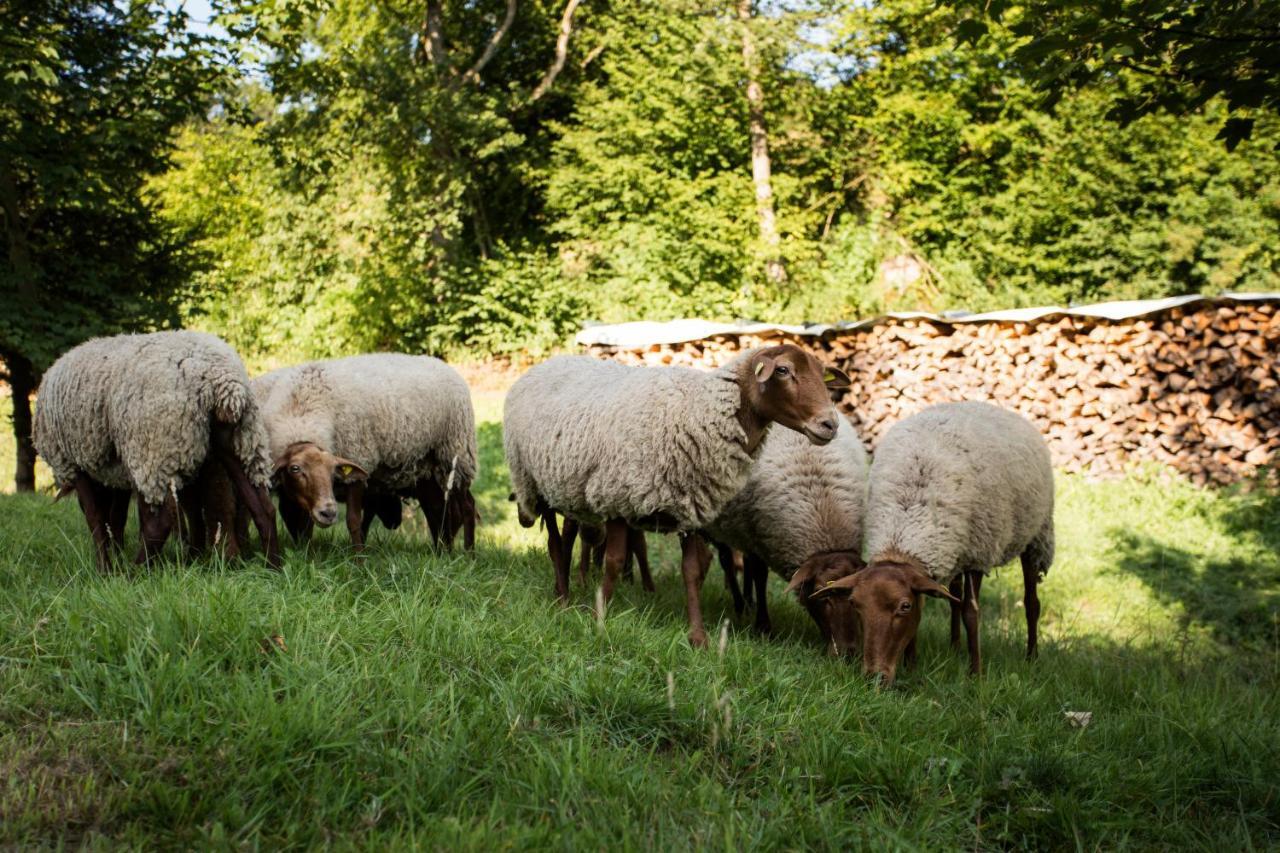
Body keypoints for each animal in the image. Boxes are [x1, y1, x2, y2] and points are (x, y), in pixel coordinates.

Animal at [35, 327, 282, 568]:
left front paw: (105, 568)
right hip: (242, 440)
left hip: (153, 448)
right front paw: (115, 556)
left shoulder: (73, 463)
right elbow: (115, 518)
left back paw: (135, 571)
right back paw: (272, 566)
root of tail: (222, 380)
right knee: (264, 508)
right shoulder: (116, 471)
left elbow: (96, 518)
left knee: (160, 523)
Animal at [254, 353, 481, 548]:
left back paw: (468, 554)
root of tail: (441, 363)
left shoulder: (359, 459)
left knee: (467, 507)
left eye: (332, 472)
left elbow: (354, 521)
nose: (328, 513)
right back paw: (443, 552)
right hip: (429, 468)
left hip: (456, 455)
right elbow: (298, 519)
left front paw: (358, 560)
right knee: (439, 509)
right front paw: (305, 551)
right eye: (295, 469)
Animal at [501, 343, 849, 645]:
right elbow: (614, 561)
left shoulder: (692, 506)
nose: (829, 424)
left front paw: (698, 637)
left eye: (822, 374)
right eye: (783, 370)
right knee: (555, 544)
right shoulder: (616, 498)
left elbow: (692, 572)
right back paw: (562, 597)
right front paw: (600, 618)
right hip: (535, 483)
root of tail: (549, 361)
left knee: (567, 539)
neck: (701, 411)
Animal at [701, 412, 870, 650]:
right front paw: (763, 628)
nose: (848, 651)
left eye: (853, 598)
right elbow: (760, 575)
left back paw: (748, 602)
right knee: (726, 559)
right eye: (821, 596)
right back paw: (740, 605)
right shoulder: (755, 533)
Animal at [814, 399, 1054, 686]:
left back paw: (1032, 657)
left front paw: (976, 675)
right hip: (957, 547)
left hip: (1036, 535)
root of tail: (989, 405)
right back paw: (954, 647)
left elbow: (972, 614)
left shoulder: (978, 554)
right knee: (954, 597)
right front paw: (911, 665)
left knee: (1031, 603)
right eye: (855, 604)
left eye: (904, 607)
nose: (874, 678)